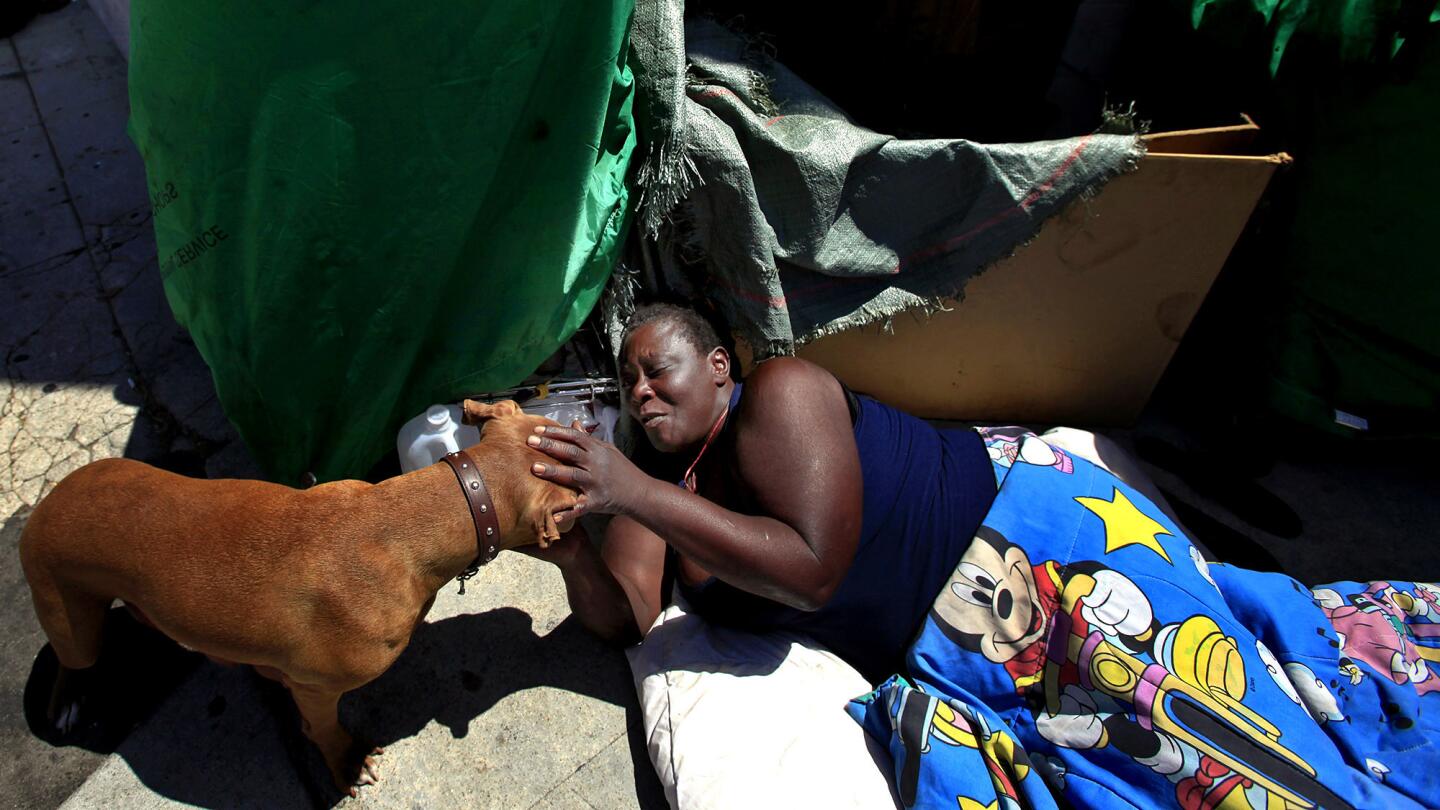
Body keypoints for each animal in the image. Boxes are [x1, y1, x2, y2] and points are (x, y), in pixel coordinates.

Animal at [18, 400, 578, 789]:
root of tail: (48, 500)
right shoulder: (315, 687)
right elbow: (323, 729)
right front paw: (347, 764)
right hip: (70, 616)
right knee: (73, 659)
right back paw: (66, 701)